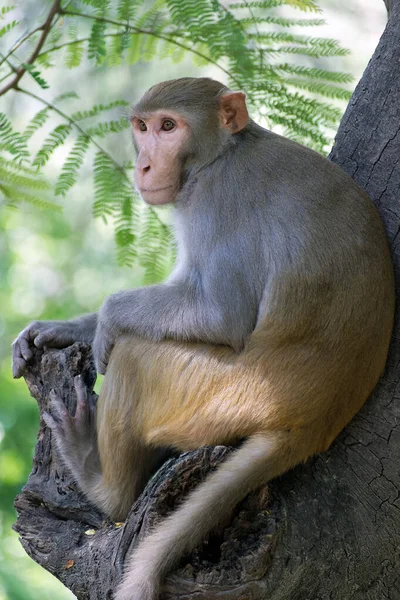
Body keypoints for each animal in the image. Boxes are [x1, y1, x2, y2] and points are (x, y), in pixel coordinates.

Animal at [12, 78, 394, 600]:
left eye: (169, 127)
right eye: (143, 127)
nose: (144, 164)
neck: (222, 153)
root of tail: (311, 424)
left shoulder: (218, 200)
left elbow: (222, 313)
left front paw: (108, 320)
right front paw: (61, 329)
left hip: (221, 397)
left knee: (136, 358)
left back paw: (99, 482)